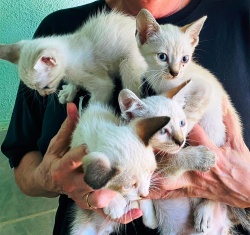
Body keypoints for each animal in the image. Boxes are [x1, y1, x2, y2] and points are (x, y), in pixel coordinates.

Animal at [0, 10, 146, 103]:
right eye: (35, 89)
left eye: (45, 87)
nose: (43, 95)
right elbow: (74, 83)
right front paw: (70, 90)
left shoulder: (101, 84)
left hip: (129, 63)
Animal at [69, 101, 170, 235]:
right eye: (127, 186)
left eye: (150, 173)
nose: (144, 194)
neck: (99, 131)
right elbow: (100, 185)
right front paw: (115, 203)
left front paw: (150, 218)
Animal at [134, 9, 247, 235]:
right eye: (162, 57)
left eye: (185, 58)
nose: (175, 71)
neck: (167, 82)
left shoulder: (205, 89)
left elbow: (190, 111)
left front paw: (181, 129)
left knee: (216, 193)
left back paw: (205, 210)